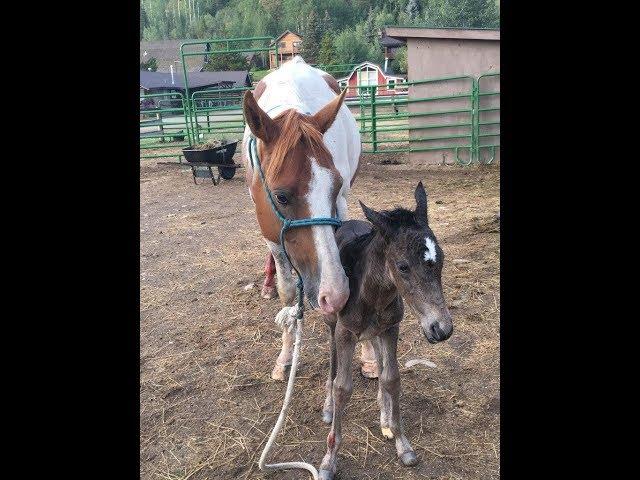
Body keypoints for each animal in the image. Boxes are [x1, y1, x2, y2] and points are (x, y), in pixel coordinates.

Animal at [242, 55, 378, 378]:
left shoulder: (341, 206)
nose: (334, 293)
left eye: (335, 187)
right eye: (281, 196)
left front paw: (368, 354)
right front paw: (285, 356)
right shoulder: (269, 229)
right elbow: (288, 292)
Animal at [318, 182, 452, 478]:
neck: (372, 294)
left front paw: (402, 443)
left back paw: (385, 418)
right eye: (402, 266)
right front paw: (329, 460)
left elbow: (391, 379)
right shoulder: (345, 332)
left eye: (441, 259)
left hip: (379, 332)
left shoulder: (391, 329)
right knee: (332, 360)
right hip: (331, 320)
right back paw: (328, 407)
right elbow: (342, 387)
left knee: (378, 361)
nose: (442, 328)